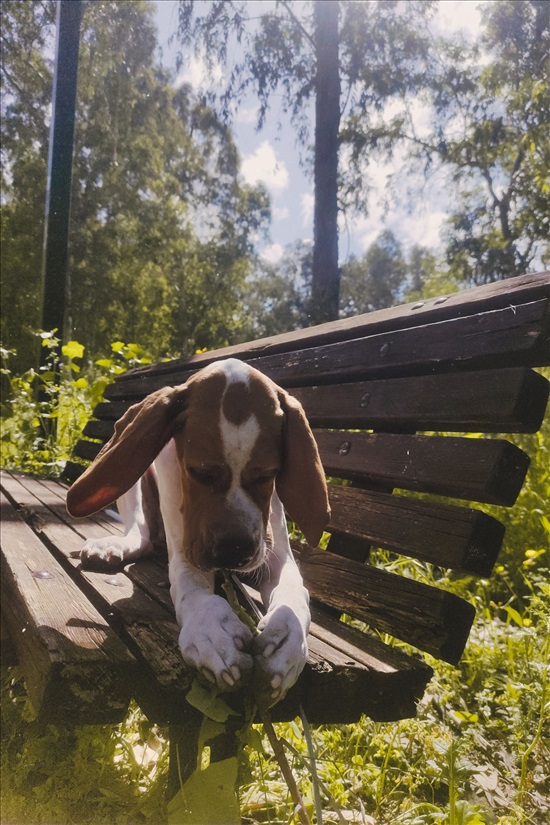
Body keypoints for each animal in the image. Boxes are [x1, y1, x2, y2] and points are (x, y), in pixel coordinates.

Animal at [67, 358, 330, 704]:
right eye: (199, 472)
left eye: (267, 475)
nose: (234, 551)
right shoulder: (186, 550)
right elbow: (191, 587)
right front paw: (210, 629)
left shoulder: (276, 555)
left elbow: (292, 589)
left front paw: (288, 635)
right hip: (135, 476)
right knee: (141, 534)